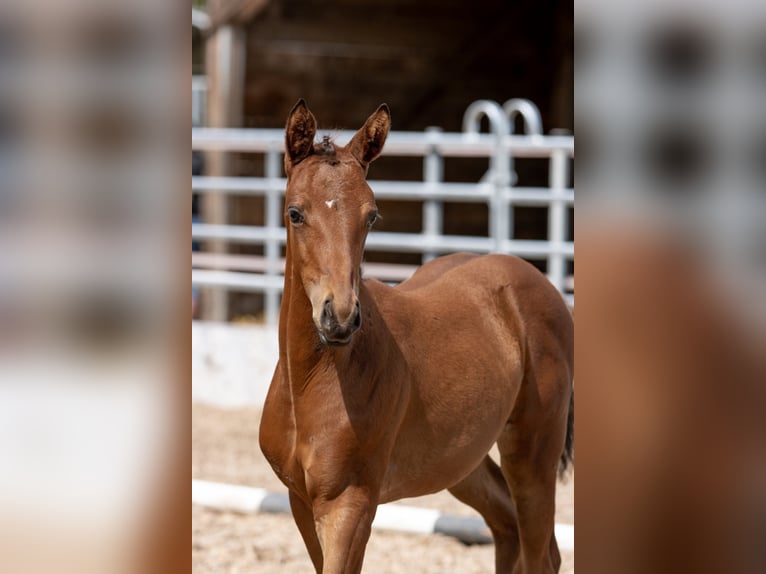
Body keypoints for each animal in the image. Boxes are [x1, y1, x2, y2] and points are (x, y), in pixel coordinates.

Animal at [260, 101, 576, 572]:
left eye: (371, 215)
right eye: (295, 212)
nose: (340, 317)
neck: (312, 381)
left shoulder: (351, 504)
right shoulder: (300, 501)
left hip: (533, 456)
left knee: (541, 552)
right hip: (461, 460)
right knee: (508, 527)